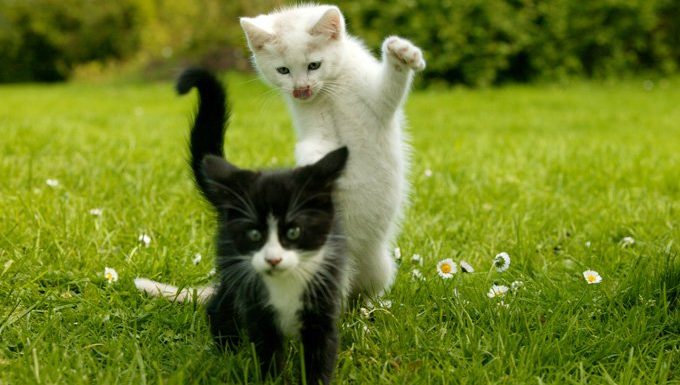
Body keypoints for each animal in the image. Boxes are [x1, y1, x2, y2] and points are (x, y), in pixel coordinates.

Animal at [135, 69, 348, 384]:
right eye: (254, 234)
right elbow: (267, 349)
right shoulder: (256, 304)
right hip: (232, 262)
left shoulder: (322, 300)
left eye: (294, 231)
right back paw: (227, 351)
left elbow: (320, 353)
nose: (273, 259)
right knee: (221, 303)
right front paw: (270, 378)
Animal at [242, 3, 424, 296]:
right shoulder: (317, 130)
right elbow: (316, 147)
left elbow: (390, 87)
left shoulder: (377, 103)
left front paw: (401, 53)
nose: (301, 90)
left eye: (314, 65)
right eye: (283, 70)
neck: (330, 90)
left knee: (366, 292)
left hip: (378, 265)